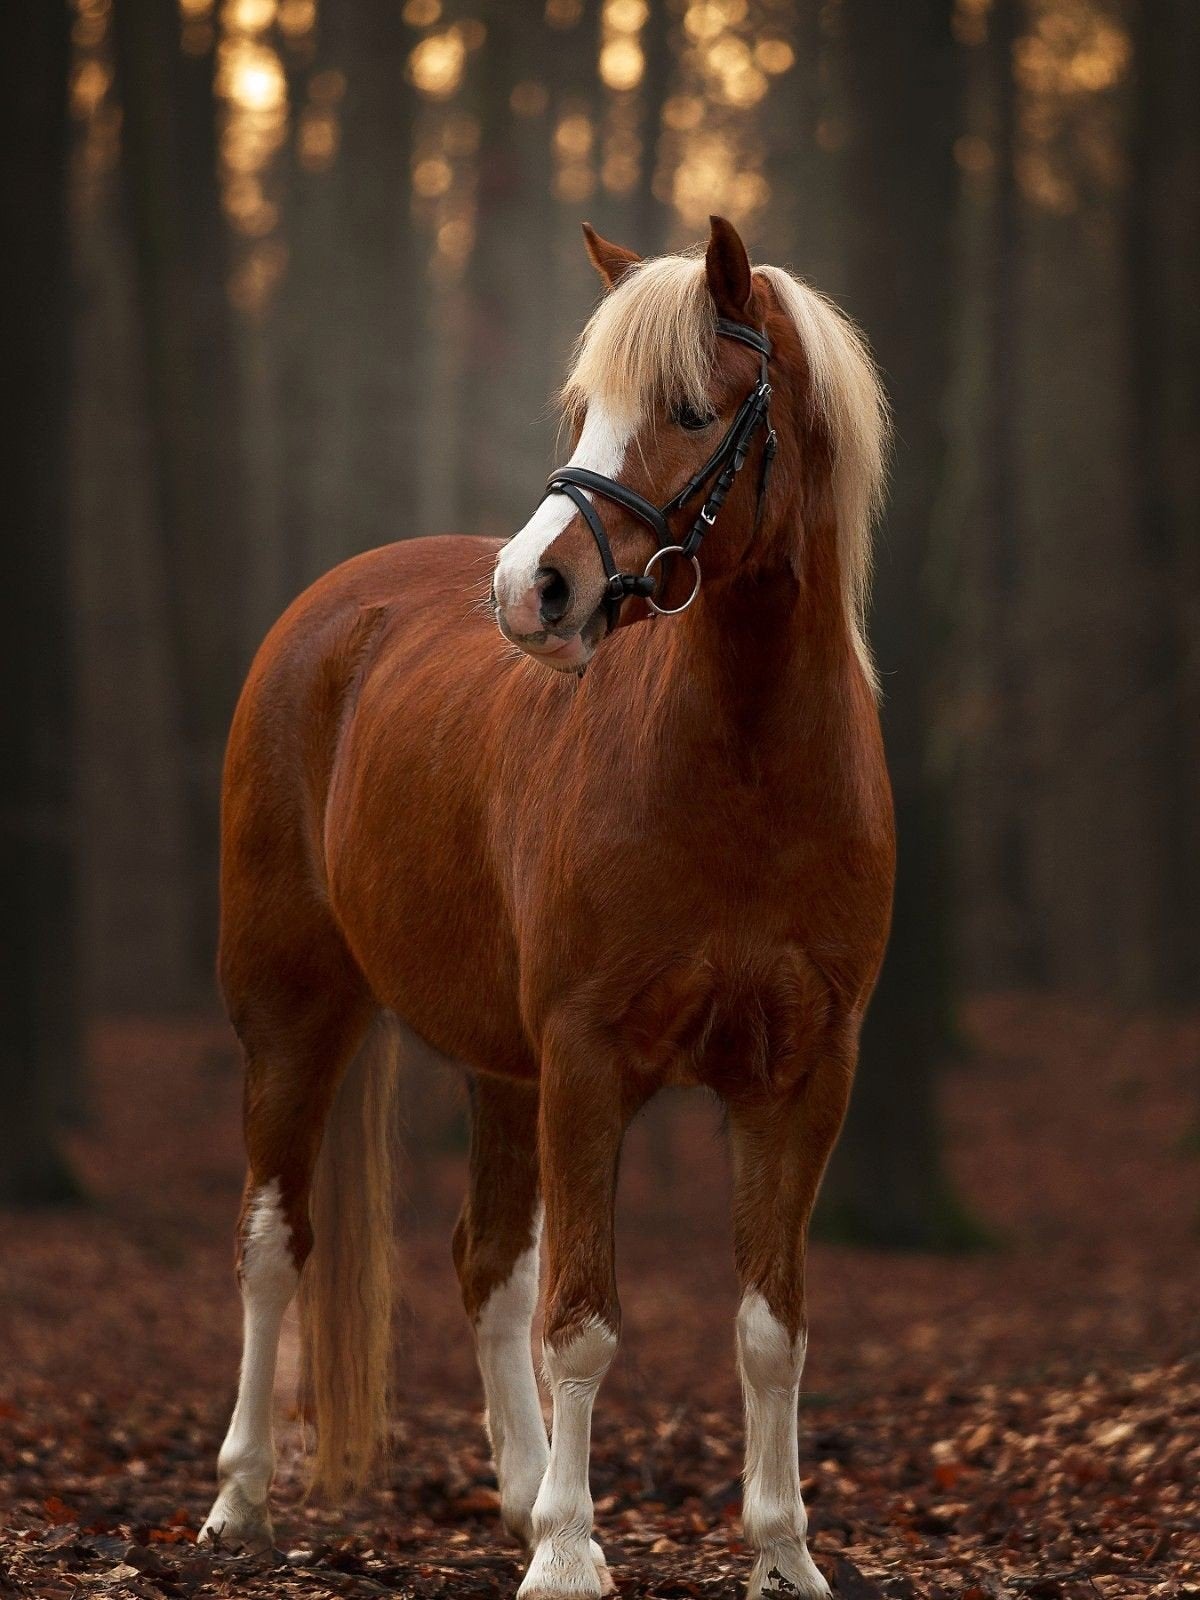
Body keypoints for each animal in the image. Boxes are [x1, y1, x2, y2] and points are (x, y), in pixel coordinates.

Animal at [197, 215, 894, 1600]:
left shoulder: (803, 1075)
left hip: (499, 1065)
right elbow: (585, 1323)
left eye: (691, 409)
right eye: (583, 408)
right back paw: (242, 1500)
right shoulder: (588, 1058)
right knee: (273, 1244)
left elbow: (770, 1327)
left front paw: (782, 1553)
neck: (747, 773)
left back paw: (519, 1494)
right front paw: (573, 1556)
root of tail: (330, 611)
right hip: (294, 1014)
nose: (534, 591)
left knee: (487, 1267)